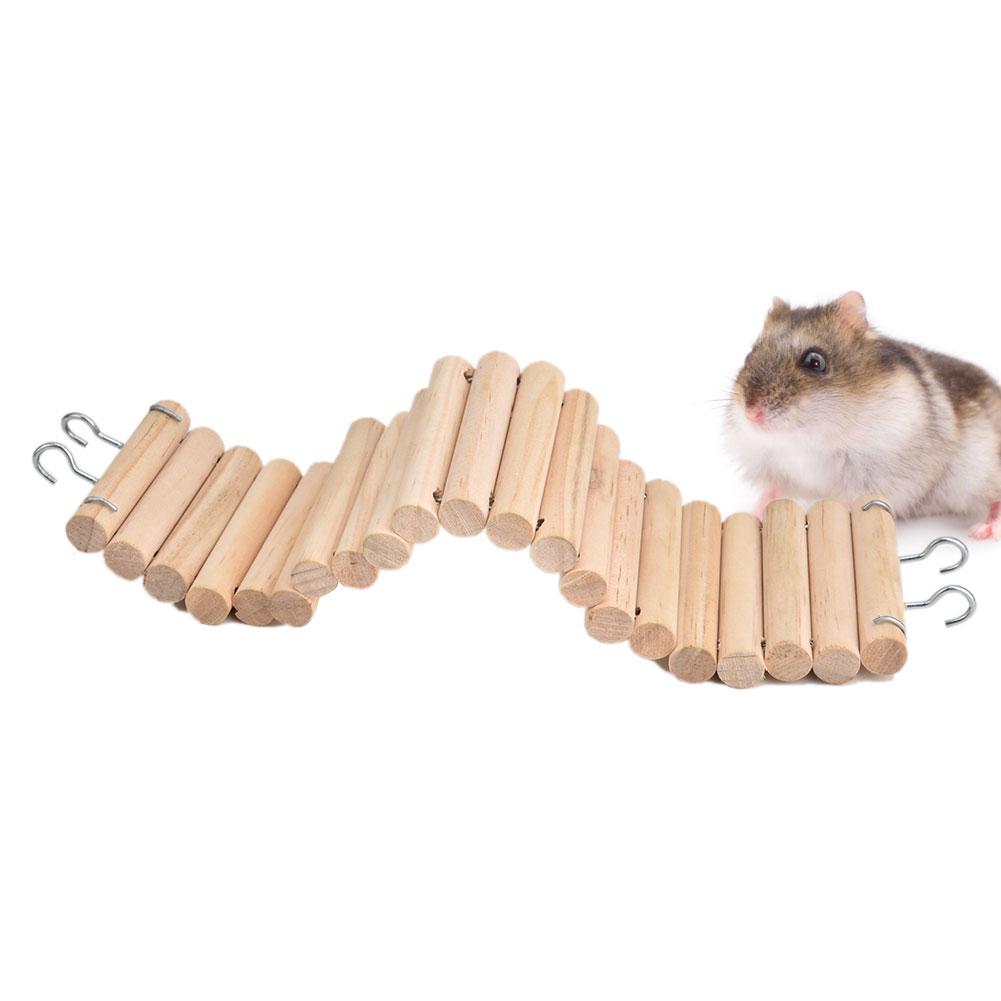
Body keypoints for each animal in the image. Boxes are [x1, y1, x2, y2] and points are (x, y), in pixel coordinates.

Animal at [724, 292, 1001, 540]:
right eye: (750, 354)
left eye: (814, 361)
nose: (751, 414)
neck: (807, 439)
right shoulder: (774, 468)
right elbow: (771, 492)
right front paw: (753, 514)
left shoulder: (881, 473)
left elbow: (853, 501)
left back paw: (983, 531)